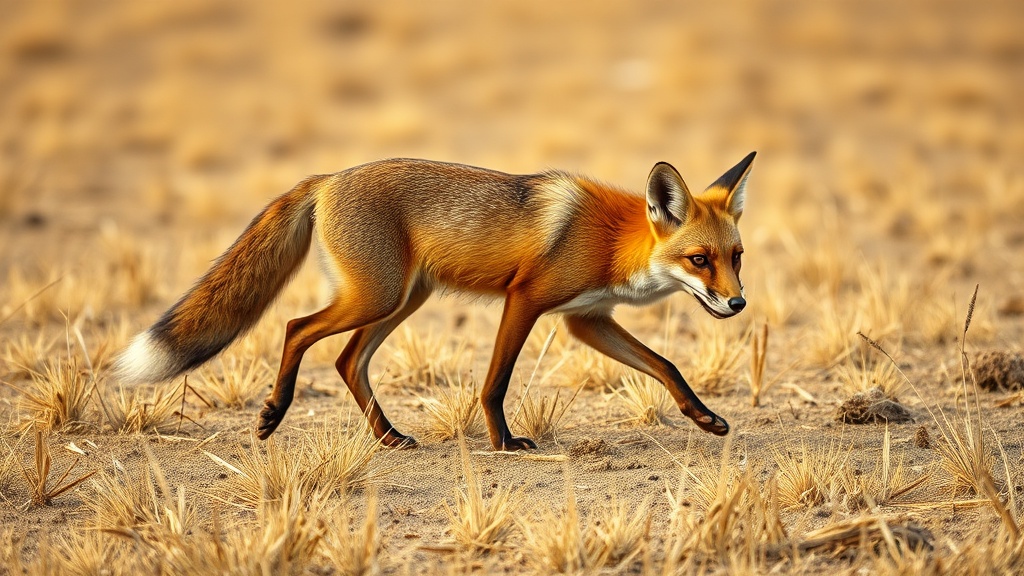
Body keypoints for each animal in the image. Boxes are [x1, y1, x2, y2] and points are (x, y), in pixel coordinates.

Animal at [116, 153, 755, 450]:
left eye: (737, 256)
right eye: (701, 260)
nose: (737, 305)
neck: (613, 241)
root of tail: (327, 178)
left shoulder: (587, 320)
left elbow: (666, 366)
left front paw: (703, 418)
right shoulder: (526, 299)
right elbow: (495, 381)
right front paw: (504, 444)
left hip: (401, 301)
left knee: (347, 360)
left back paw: (388, 437)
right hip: (376, 297)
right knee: (297, 327)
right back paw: (274, 412)